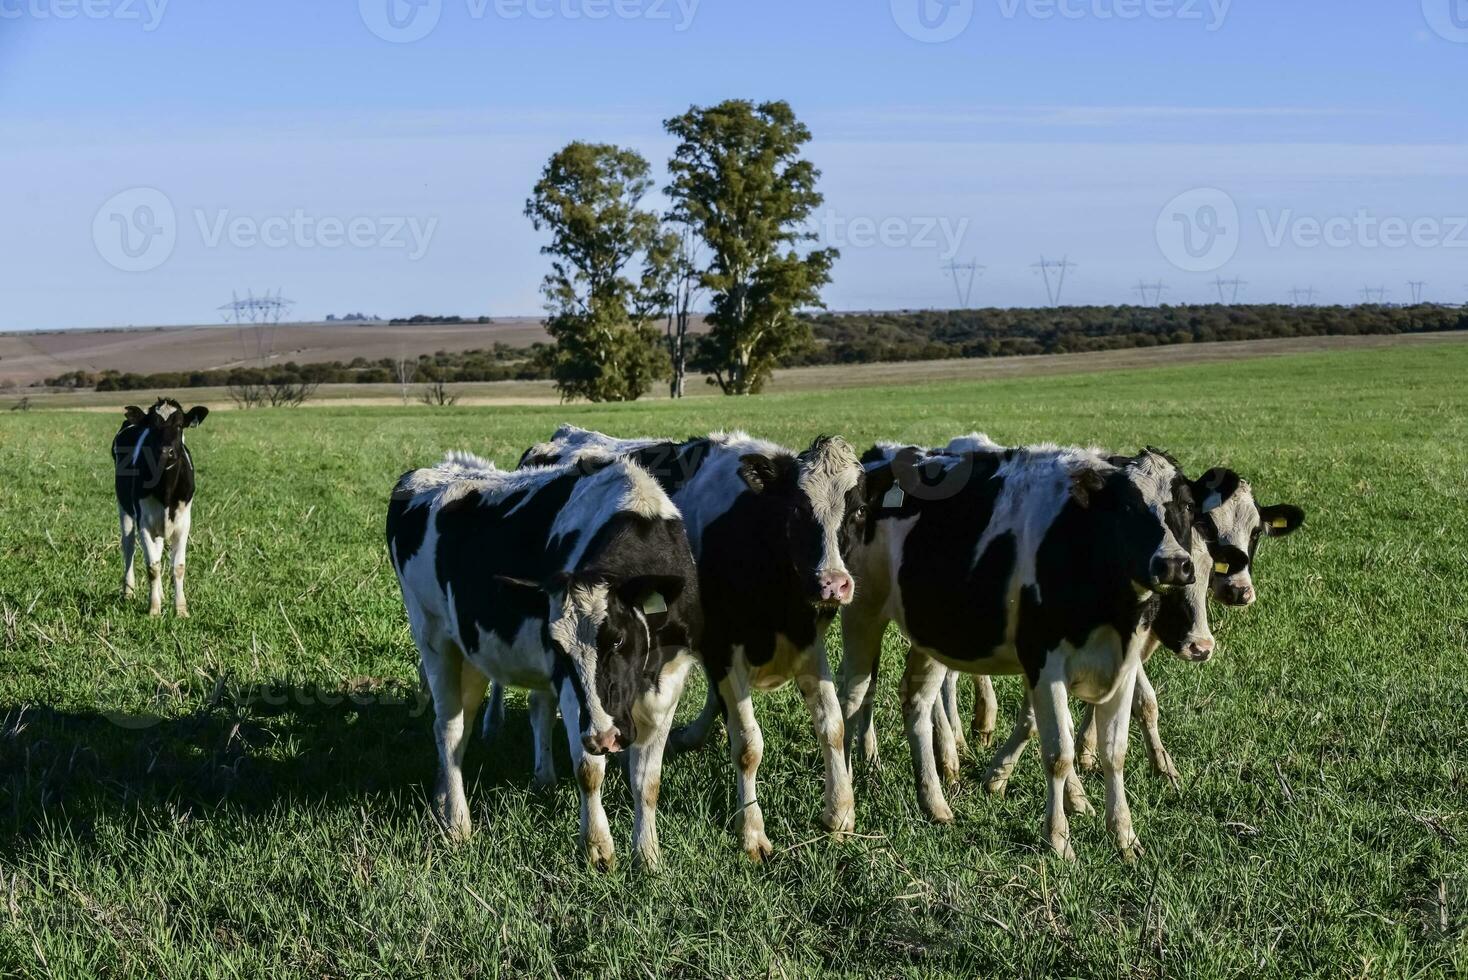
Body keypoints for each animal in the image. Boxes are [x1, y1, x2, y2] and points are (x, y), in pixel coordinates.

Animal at [113, 396, 209, 613]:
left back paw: (162, 594)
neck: (165, 489)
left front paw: (181, 609)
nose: (166, 451)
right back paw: (128, 592)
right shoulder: (144, 523)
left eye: (180, 425)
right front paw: (154, 609)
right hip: (125, 509)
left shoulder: (183, 523)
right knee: (128, 547)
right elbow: (152, 567)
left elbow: (178, 567)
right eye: (152, 426)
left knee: (157, 548)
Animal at [381, 448, 695, 868]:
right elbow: (588, 770)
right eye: (559, 649)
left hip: (472, 654)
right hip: (434, 638)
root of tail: (428, 473)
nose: (605, 737)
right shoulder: (572, 690)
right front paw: (597, 848)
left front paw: (647, 857)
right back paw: (458, 823)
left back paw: (443, 799)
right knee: (448, 730)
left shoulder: (669, 682)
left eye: (618, 640)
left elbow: (647, 782)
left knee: (465, 730)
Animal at [519, 425, 863, 862]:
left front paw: (840, 813)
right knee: (542, 702)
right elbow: (748, 745)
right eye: (798, 512)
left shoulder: (806, 643)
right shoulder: (723, 648)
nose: (832, 584)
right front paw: (752, 832)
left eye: (859, 511)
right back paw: (545, 773)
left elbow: (832, 725)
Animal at [845, 443, 1209, 856]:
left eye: (1187, 506)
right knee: (851, 695)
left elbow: (1114, 752)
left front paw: (1124, 838)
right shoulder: (1044, 662)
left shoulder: (1124, 666)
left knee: (916, 700)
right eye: (1129, 507)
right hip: (862, 611)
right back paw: (844, 804)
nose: (1174, 565)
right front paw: (1058, 839)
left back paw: (934, 802)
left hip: (933, 631)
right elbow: (1059, 754)